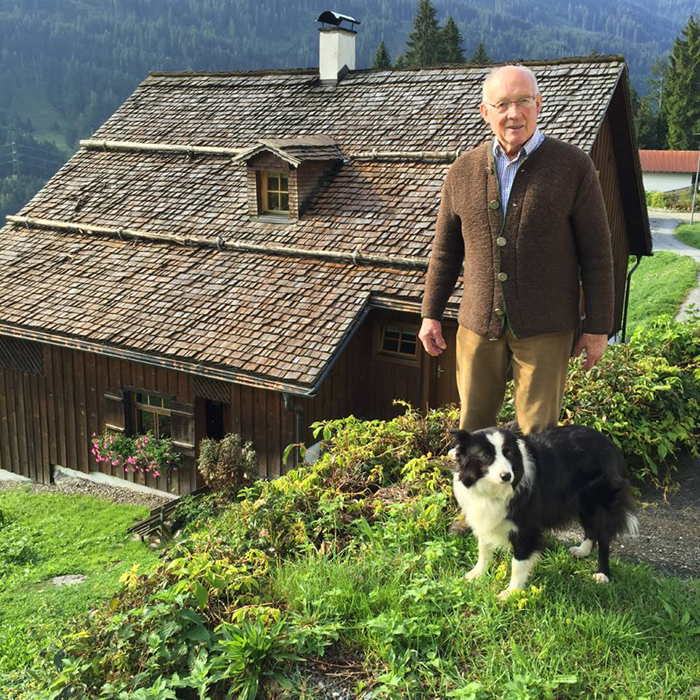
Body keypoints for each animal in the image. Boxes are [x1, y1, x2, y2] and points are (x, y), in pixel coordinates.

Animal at [448, 424, 640, 600]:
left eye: (508, 452)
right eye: (485, 456)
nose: (507, 476)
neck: (494, 490)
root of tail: (611, 444)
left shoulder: (526, 523)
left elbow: (518, 562)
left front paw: (510, 593)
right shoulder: (484, 514)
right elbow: (483, 548)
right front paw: (476, 574)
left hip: (599, 498)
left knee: (603, 535)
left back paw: (602, 574)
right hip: (583, 502)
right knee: (591, 528)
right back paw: (582, 551)